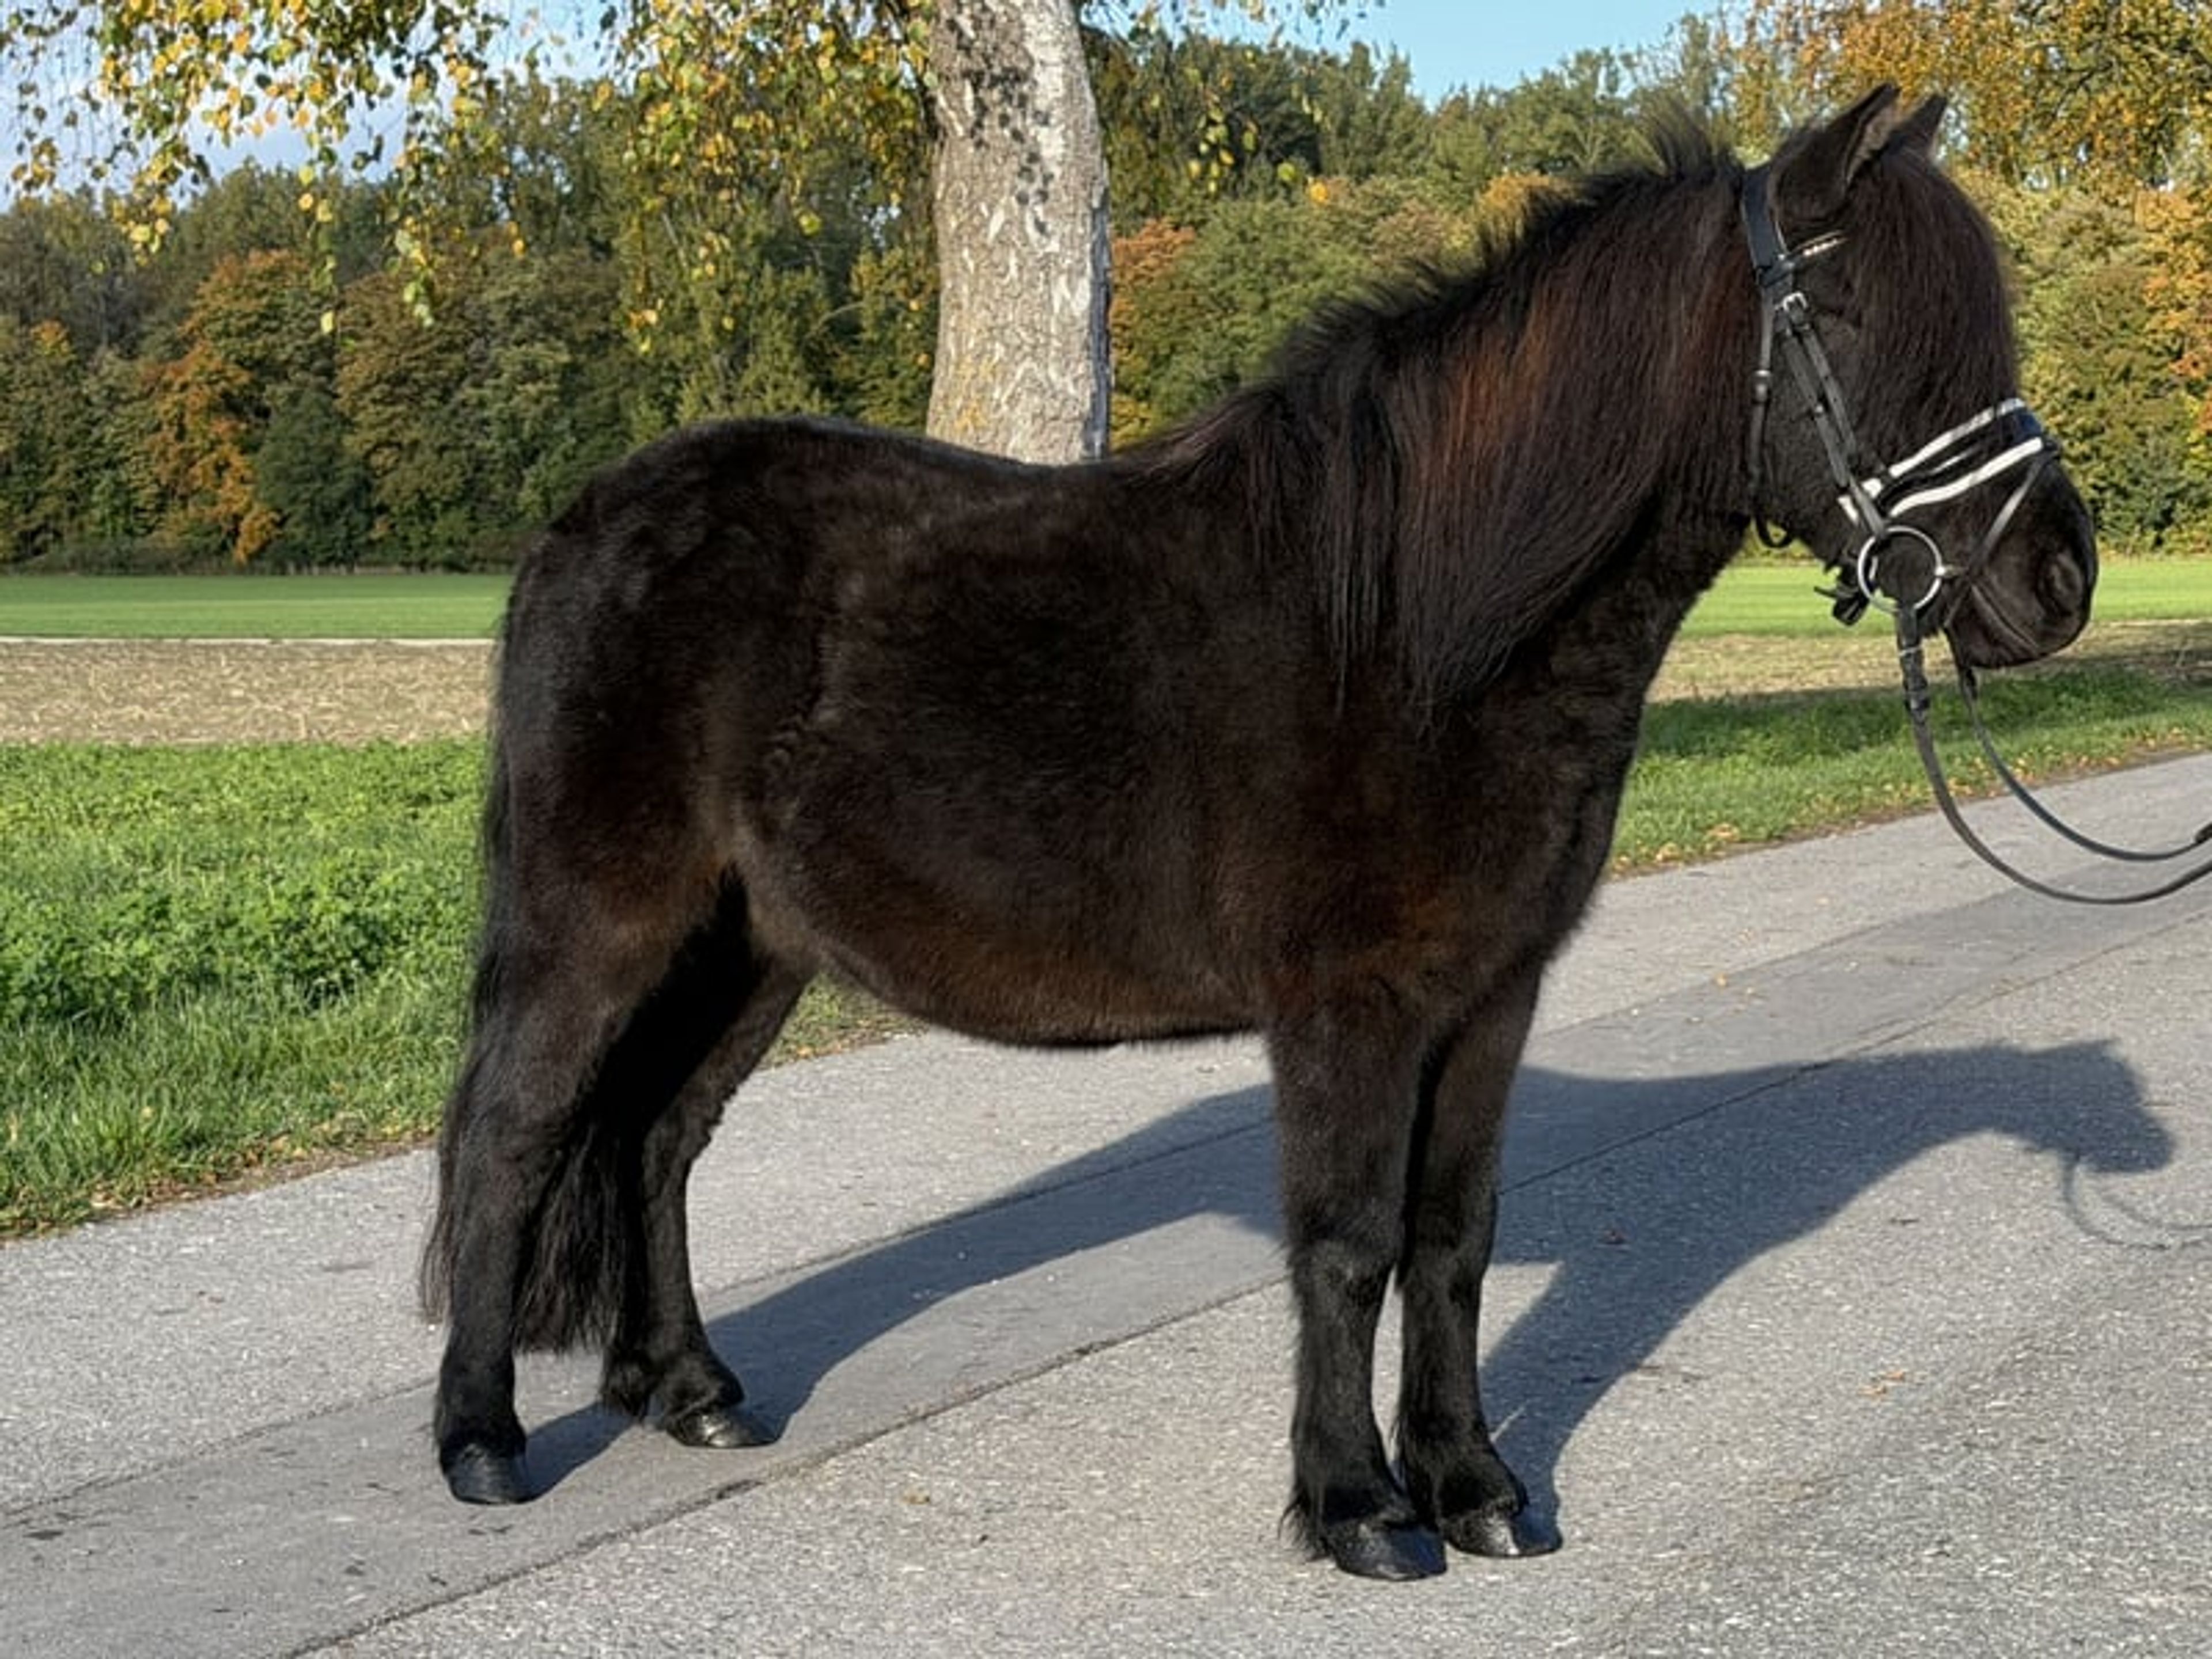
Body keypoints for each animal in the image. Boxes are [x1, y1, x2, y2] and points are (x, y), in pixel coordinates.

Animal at [421, 86, 2098, 1580]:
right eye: (1861, 318)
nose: (2060, 580)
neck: (1416, 628)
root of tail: (582, 522)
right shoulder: (1346, 1010)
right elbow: (1349, 1244)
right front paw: (1357, 1509)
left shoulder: (1487, 997)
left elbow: (1452, 1236)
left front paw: (1478, 1491)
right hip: (602, 922)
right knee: (510, 1137)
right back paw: (483, 1442)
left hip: (748, 943)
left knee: (655, 1137)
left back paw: (690, 1393)